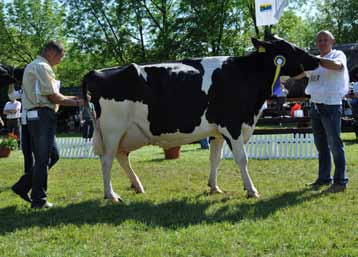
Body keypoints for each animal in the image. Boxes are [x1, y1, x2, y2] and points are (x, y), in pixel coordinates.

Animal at [82, 36, 320, 200]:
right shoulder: (233, 125)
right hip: (112, 130)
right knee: (106, 159)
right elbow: (242, 159)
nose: (316, 58)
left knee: (121, 156)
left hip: (128, 132)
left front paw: (214, 187)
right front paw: (251, 190)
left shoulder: (218, 131)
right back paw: (111, 195)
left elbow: (215, 159)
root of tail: (97, 72)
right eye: (289, 48)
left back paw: (138, 186)